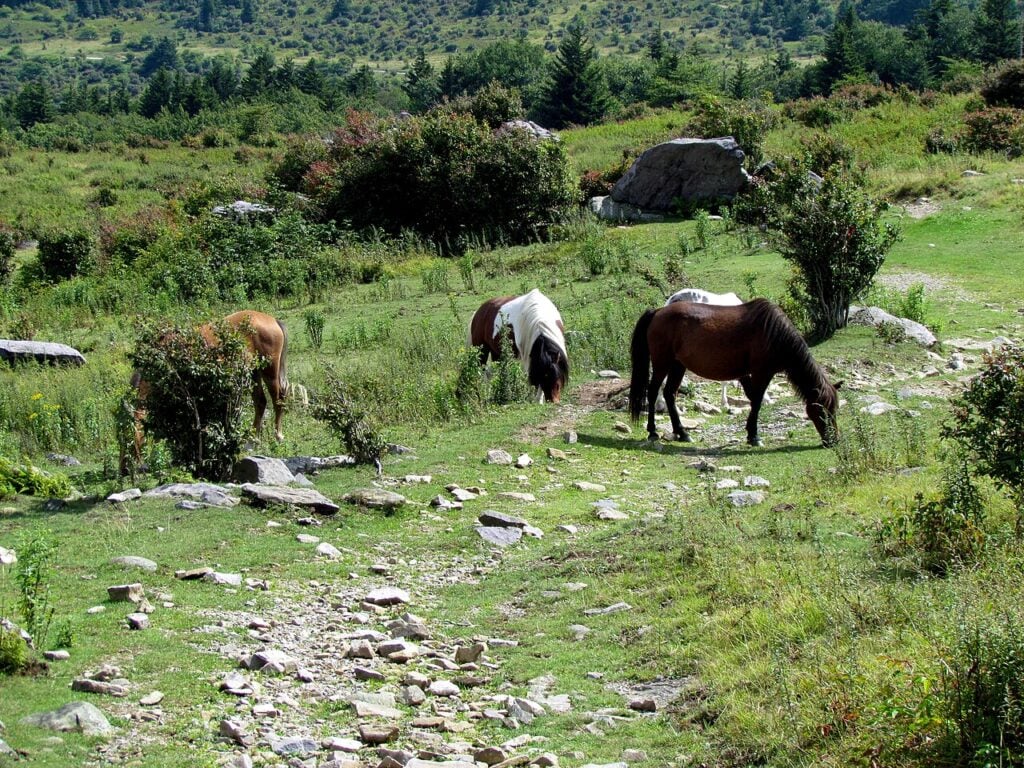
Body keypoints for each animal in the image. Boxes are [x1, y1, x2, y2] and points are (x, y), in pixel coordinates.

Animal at [122, 310, 289, 474]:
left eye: (129, 437)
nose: (124, 470)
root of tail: (272, 320)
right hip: (253, 372)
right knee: (260, 402)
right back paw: (252, 443)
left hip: (269, 372)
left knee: (278, 400)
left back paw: (278, 436)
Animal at [629, 298, 840, 447]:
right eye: (822, 410)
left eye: (834, 409)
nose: (833, 441)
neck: (774, 333)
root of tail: (657, 312)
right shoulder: (762, 372)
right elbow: (757, 401)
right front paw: (754, 436)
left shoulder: (746, 374)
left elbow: (753, 399)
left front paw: (750, 433)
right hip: (662, 364)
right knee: (653, 391)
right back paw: (653, 431)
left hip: (678, 365)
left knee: (669, 394)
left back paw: (682, 433)